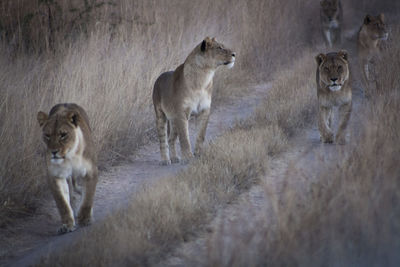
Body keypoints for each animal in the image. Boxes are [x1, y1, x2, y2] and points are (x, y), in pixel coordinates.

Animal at [152, 36, 234, 164]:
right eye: (220, 48)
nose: (234, 54)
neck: (204, 77)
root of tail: (158, 78)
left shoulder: (204, 110)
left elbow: (201, 135)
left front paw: (199, 153)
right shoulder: (182, 112)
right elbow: (184, 137)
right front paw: (188, 156)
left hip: (173, 119)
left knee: (171, 139)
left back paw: (174, 158)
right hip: (161, 115)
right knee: (163, 139)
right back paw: (165, 160)